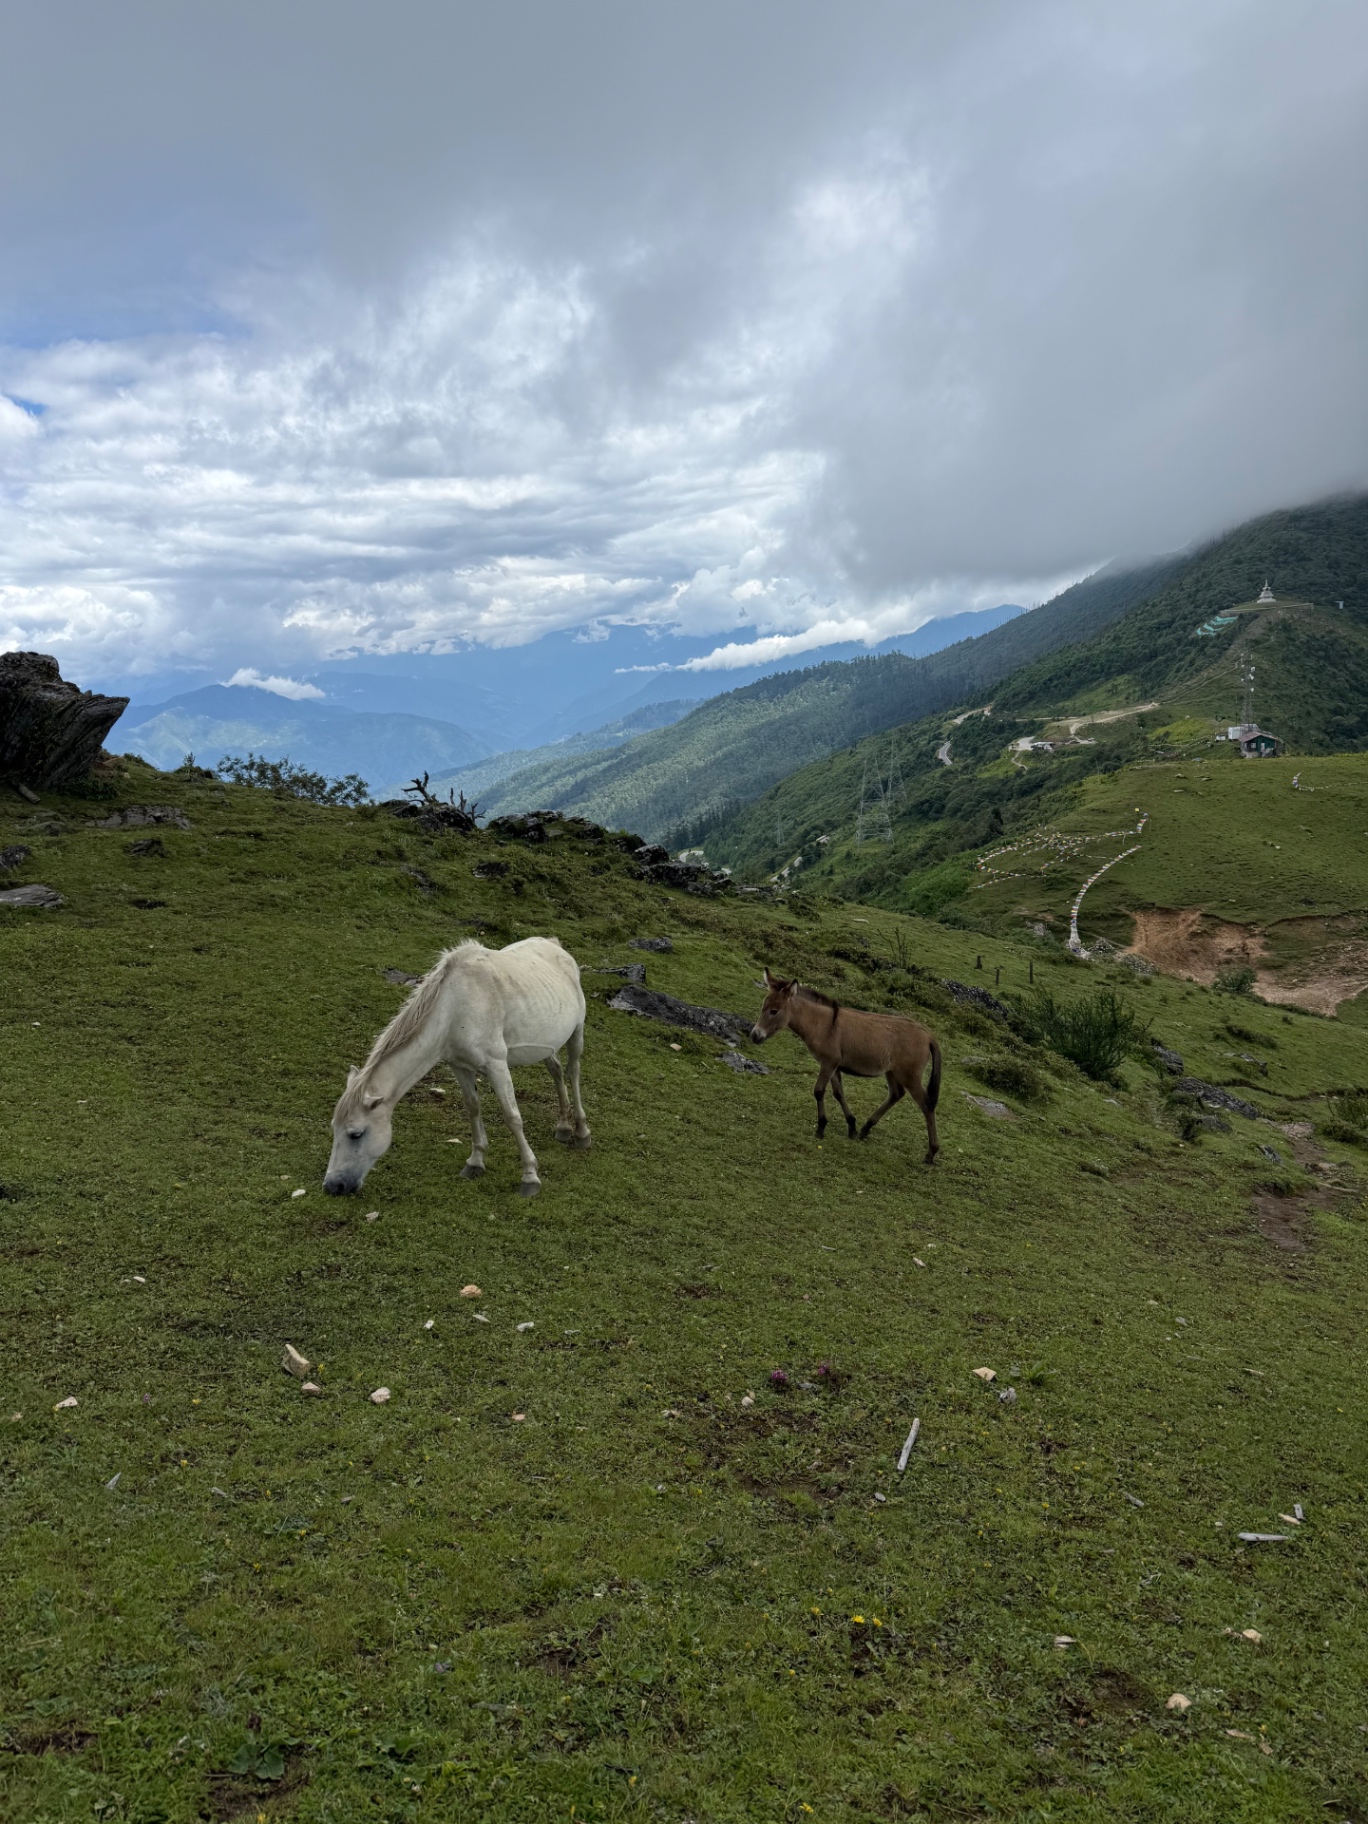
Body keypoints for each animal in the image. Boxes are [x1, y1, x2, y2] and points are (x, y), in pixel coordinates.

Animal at [324, 936, 590, 1199]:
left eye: (356, 1134)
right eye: (334, 1128)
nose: (333, 1186)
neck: (454, 1009)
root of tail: (554, 944)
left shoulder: (496, 1065)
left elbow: (512, 1117)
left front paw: (530, 1176)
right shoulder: (459, 1066)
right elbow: (473, 1107)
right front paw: (475, 1162)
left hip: (576, 1033)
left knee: (573, 1072)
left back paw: (581, 1132)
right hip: (546, 1043)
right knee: (556, 1071)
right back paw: (564, 1127)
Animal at [750, 968, 941, 1163]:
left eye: (774, 1011)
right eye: (763, 1007)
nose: (754, 1036)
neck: (821, 1024)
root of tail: (929, 1036)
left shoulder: (828, 1062)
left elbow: (819, 1091)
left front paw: (821, 1128)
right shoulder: (833, 1065)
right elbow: (838, 1093)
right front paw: (852, 1126)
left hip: (909, 1075)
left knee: (926, 1104)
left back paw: (931, 1153)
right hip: (892, 1071)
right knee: (896, 1094)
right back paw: (865, 1129)